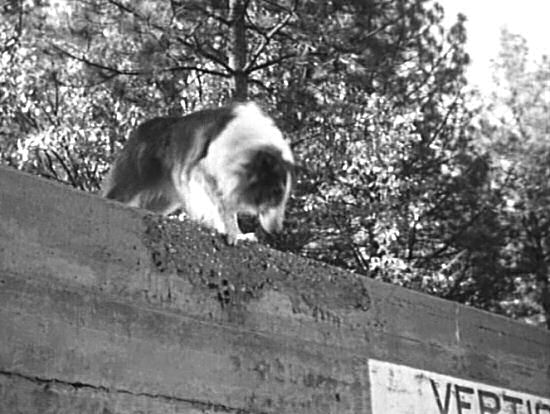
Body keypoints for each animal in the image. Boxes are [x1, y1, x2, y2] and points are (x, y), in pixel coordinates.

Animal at [101, 102, 296, 244]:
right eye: (275, 193)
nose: (277, 231)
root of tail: (141, 127)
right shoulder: (201, 172)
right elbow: (221, 207)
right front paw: (230, 232)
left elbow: (229, 208)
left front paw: (240, 234)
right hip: (131, 181)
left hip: (164, 201)